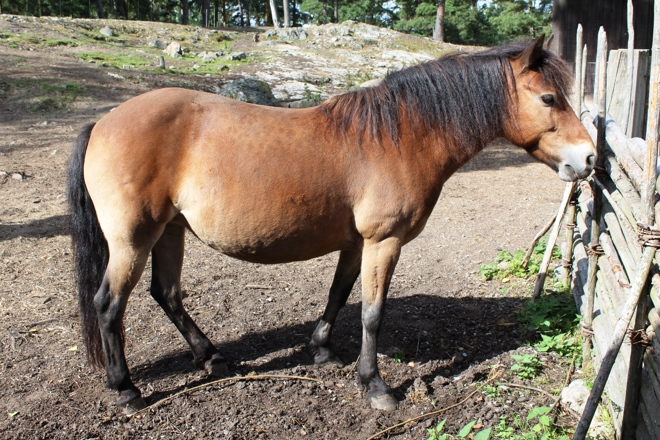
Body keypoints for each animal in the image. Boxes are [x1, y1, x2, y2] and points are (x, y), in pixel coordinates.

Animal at [68, 37, 600, 412]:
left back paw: (213, 357)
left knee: (167, 294)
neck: (400, 136)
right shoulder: (384, 241)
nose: (590, 158)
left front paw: (322, 350)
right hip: (133, 239)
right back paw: (127, 389)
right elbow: (372, 314)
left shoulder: (356, 243)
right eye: (549, 99)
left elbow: (339, 296)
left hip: (170, 231)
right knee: (109, 304)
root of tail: (103, 122)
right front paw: (376, 386)